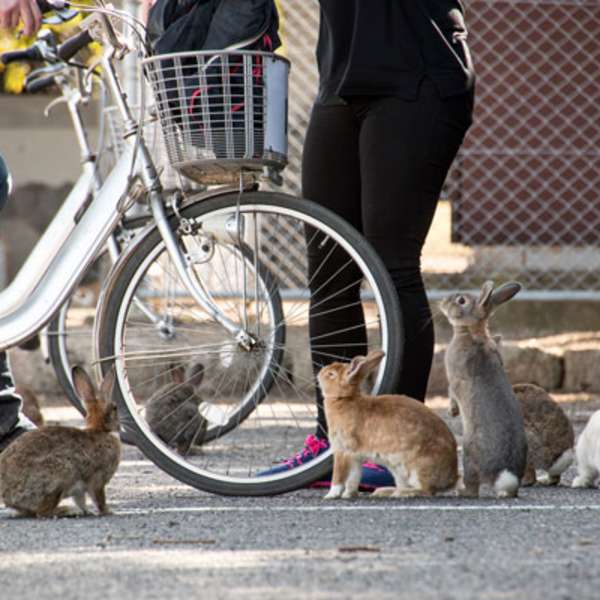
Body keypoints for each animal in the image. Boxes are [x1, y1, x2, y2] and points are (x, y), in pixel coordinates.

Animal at [0, 368, 120, 516]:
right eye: (115, 408)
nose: (120, 425)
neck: (100, 430)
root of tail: (6, 493)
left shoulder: (80, 491)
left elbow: (81, 500)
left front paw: (88, 511)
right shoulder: (98, 479)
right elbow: (99, 498)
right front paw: (107, 511)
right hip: (61, 474)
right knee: (43, 512)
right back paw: (67, 510)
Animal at [318, 350, 460, 500]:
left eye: (331, 374)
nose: (320, 372)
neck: (343, 398)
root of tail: (451, 479)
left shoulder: (342, 451)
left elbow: (338, 477)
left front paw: (330, 495)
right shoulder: (355, 457)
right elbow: (353, 478)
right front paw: (348, 495)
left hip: (416, 468)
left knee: (426, 490)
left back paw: (400, 494)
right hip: (397, 471)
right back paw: (385, 491)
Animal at [438, 284, 528, 500]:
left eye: (461, 300)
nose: (442, 301)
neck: (470, 332)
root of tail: (504, 477)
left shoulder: (454, 379)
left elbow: (451, 392)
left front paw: (452, 411)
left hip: (469, 454)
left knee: (473, 487)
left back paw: (460, 491)